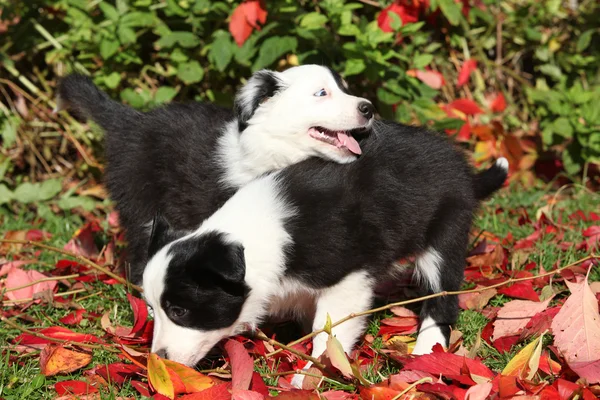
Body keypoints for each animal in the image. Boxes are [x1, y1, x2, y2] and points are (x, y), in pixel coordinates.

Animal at [56, 65, 376, 284]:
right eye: (321, 93)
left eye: (345, 88)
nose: (369, 108)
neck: (278, 148)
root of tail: (129, 120)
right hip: (139, 198)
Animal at [143, 118, 508, 376]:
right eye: (152, 309)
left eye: (179, 311)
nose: (158, 359)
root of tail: (466, 173)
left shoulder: (348, 280)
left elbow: (329, 331)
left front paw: (311, 375)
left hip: (445, 233)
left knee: (441, 300)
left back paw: (425, 355)